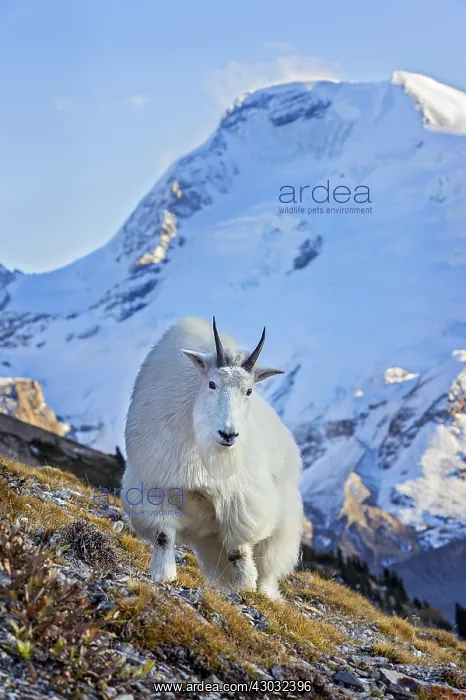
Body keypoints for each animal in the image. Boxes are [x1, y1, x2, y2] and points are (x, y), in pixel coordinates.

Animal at [122, 316, 303, 598]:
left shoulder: (240, 498)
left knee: (268, 565)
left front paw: (245, 586)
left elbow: (238, 549)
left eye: (249, 390)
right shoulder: (154, 484)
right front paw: (164, 575)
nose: (228, 434)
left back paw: (264, 593)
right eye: (212, 384)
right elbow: (163, 535)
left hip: (283, 522)